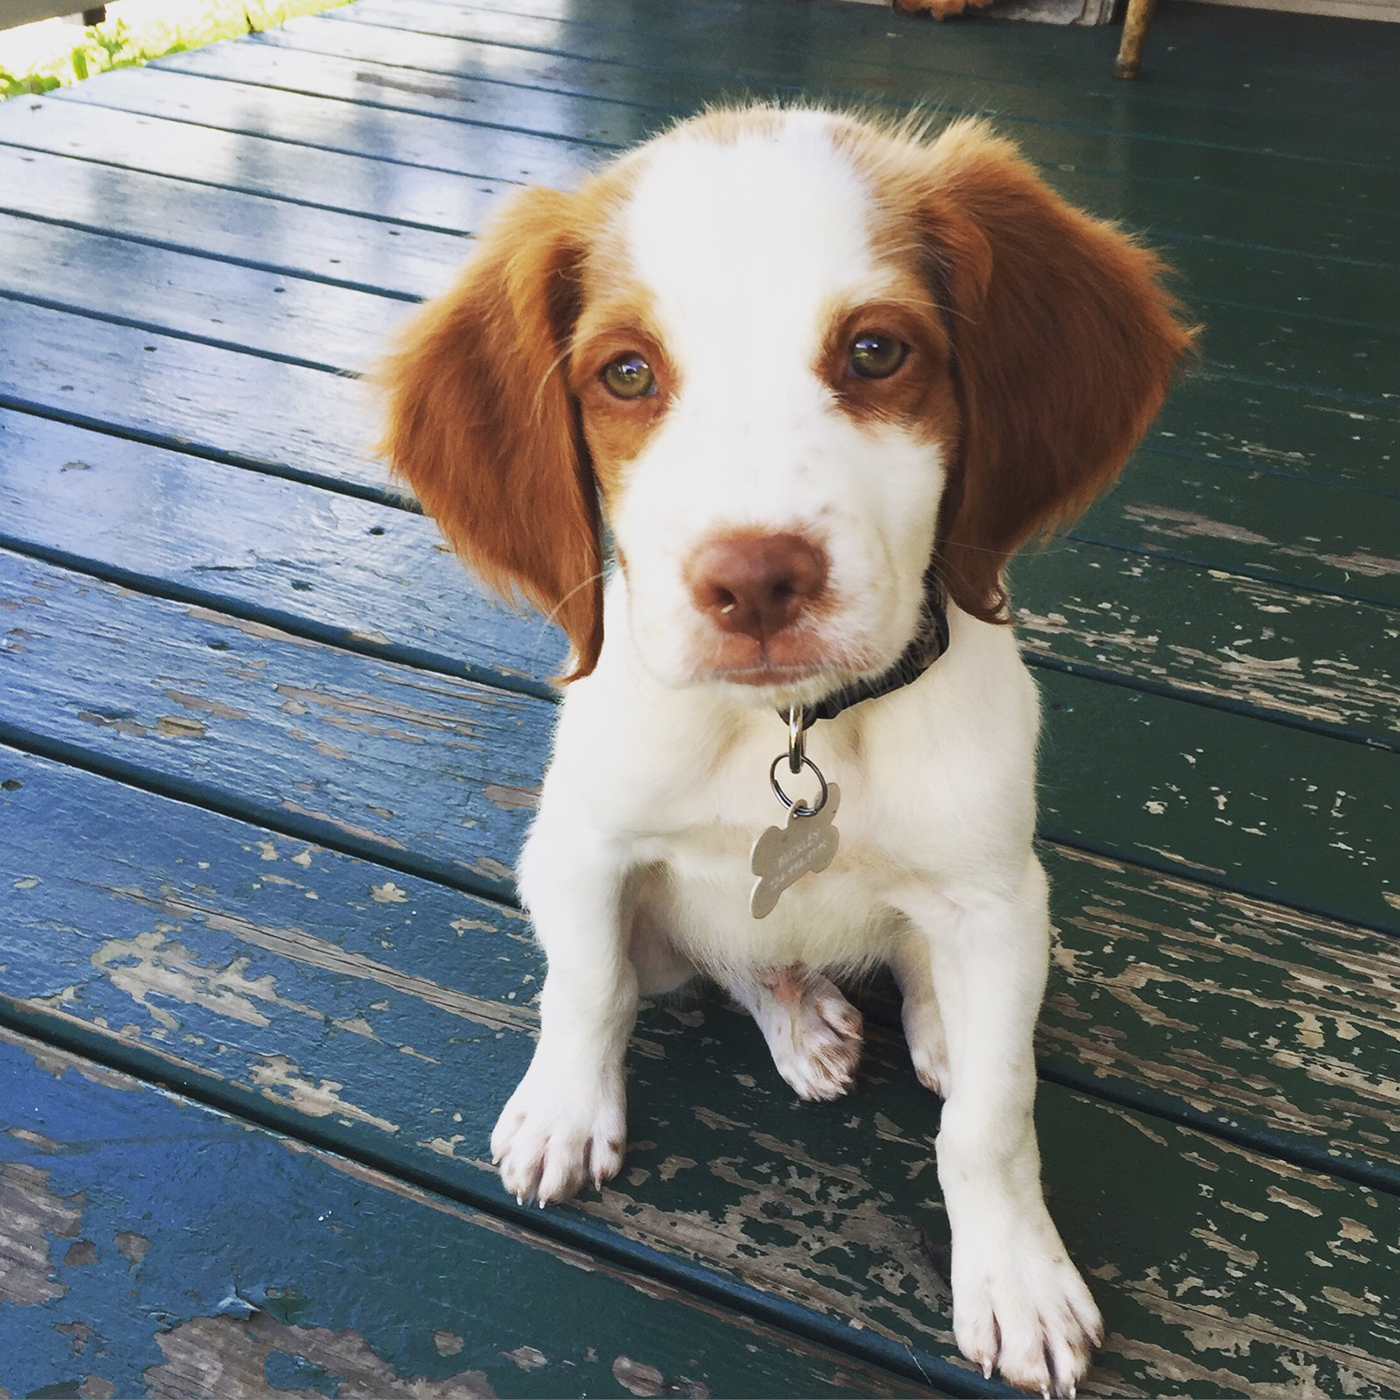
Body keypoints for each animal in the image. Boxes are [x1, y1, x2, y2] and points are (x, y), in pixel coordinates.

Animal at [380, 103, 1192, 1394]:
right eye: (626, 372)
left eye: (873, 351)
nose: (753, 579)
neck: (797, 726)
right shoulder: (583, 848)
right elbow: (587, 985)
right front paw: (564, 1109)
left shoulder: (995, 894)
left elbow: (991, 1118)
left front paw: (1015, 1274)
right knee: (726, 960)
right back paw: (800, 1016)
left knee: (927, 985)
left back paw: (931, 1023)